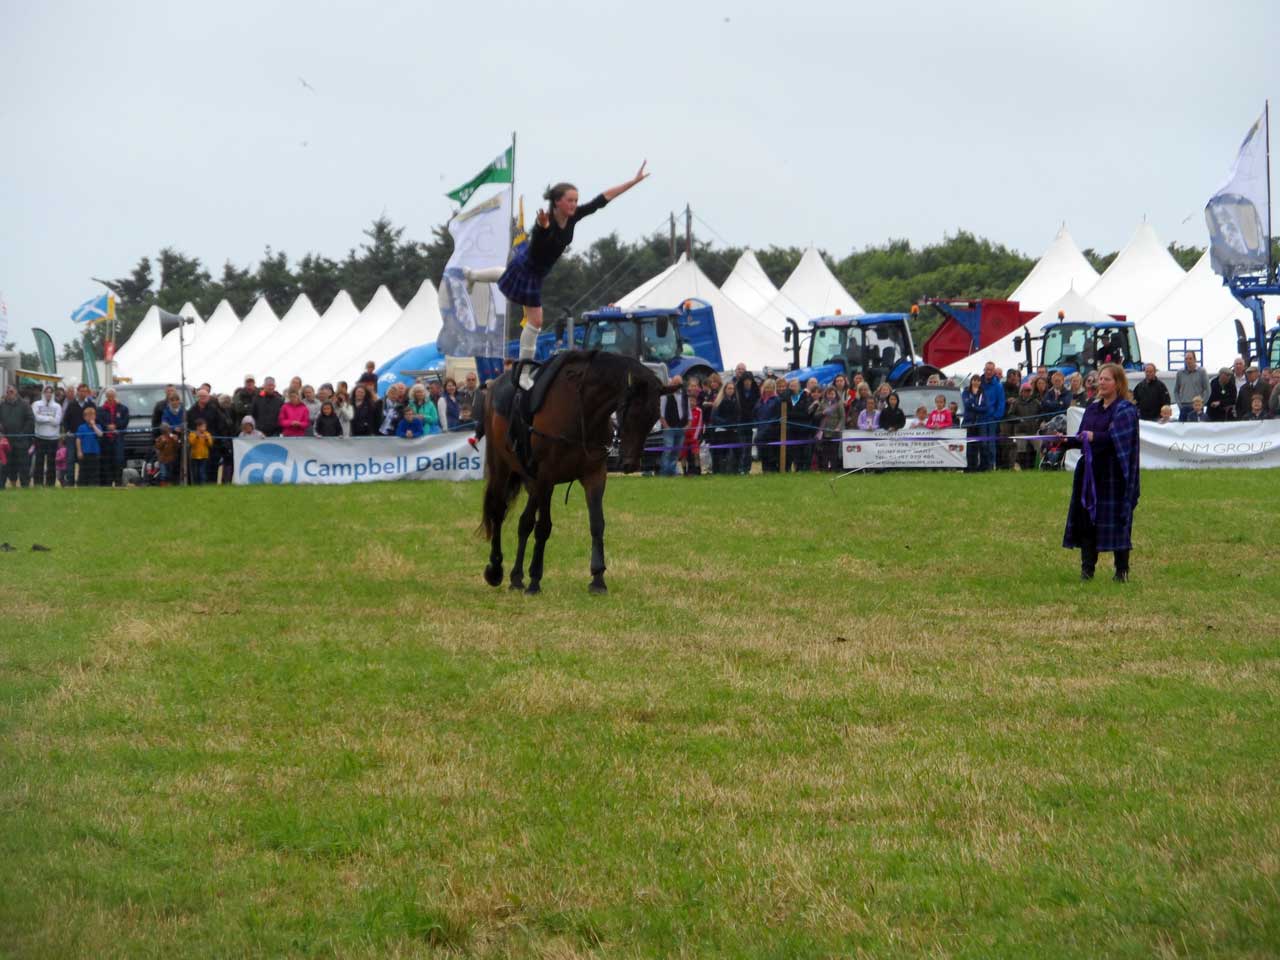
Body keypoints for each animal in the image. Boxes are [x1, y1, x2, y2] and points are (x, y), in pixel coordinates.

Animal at [481, 350, 675, 599]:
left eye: (654, 417)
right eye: (629, 412)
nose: (631, 463)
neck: (581, 410)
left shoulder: (594, 475)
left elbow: (597, 524)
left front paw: (598, 578)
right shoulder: (547, 477)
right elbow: (543, 527)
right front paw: (535, 580)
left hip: (533, 482)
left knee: (524, 523)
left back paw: (516, 578)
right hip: (503, 468)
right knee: (498, 511)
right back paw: (496, 569)